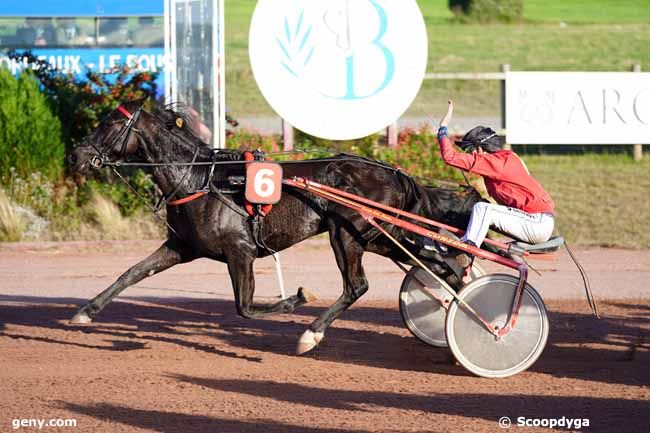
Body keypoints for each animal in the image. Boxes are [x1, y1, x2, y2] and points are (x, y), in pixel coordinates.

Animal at [69, 100, 480, 354]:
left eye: (111, 124)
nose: (76, 156)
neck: (201, 180)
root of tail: (393, 172)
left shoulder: (240, 251)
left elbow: (246, 307)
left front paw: (295, 299)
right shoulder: (182, 247)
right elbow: (133, 272)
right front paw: (86, 311)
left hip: (351, 233)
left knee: (359, 285)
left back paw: (311, 335)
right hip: (379, 236)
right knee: (437, 263)